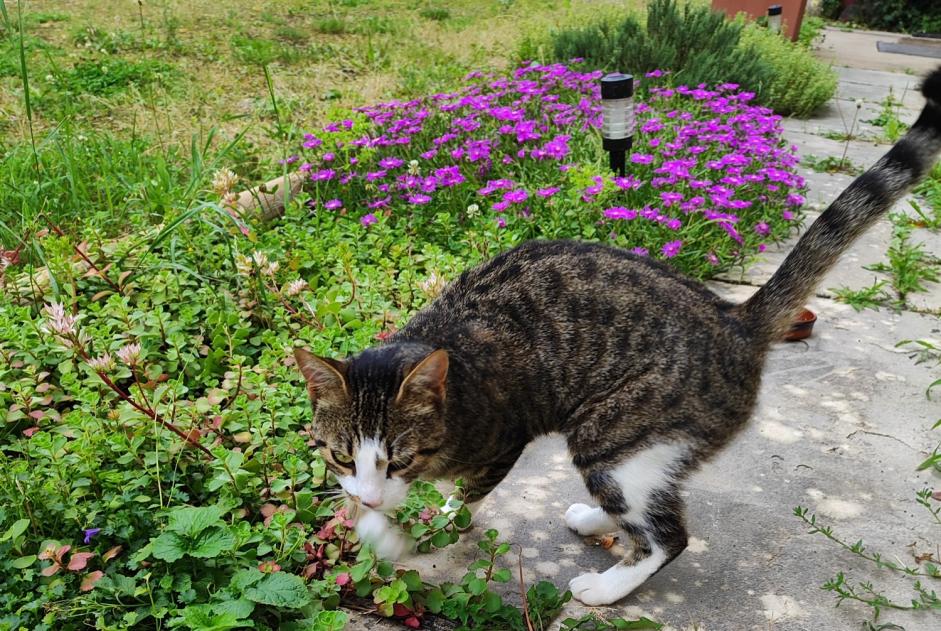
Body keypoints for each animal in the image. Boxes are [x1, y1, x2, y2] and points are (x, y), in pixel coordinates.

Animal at [294, 65, 940, 608]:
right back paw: (598, 519)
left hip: (613, 429)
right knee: (648, 500)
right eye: (340, 455)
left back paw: (605, 586)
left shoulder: (502, 440)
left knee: (666, 534)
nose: (368, 496)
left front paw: (396, 531)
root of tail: (733, 318)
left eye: (401, 460)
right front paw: (368, 514)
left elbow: (458, 503)